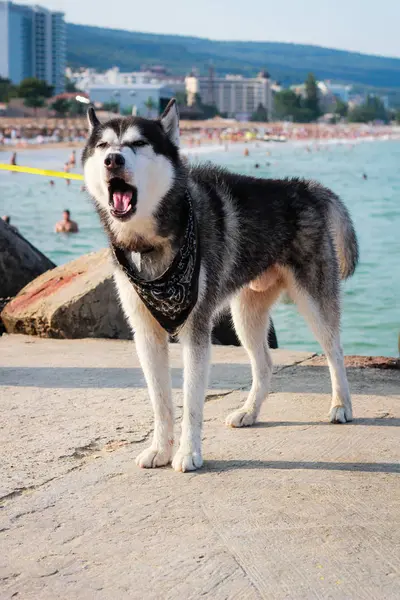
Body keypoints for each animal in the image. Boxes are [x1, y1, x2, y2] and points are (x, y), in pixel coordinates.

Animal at [83, 99, 360, 474]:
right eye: (103, 146)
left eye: (138, 143)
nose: (113, 160)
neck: (151, 244)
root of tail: (303, 187)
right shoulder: (146, 332)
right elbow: (160, 400)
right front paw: (160, 449)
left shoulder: (196, 330)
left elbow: (191, 402)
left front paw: (188, 453)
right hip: (245, 313)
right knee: (264, 364)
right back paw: (250, 412)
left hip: (314, 300)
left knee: (335, 350)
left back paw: (341, 405)